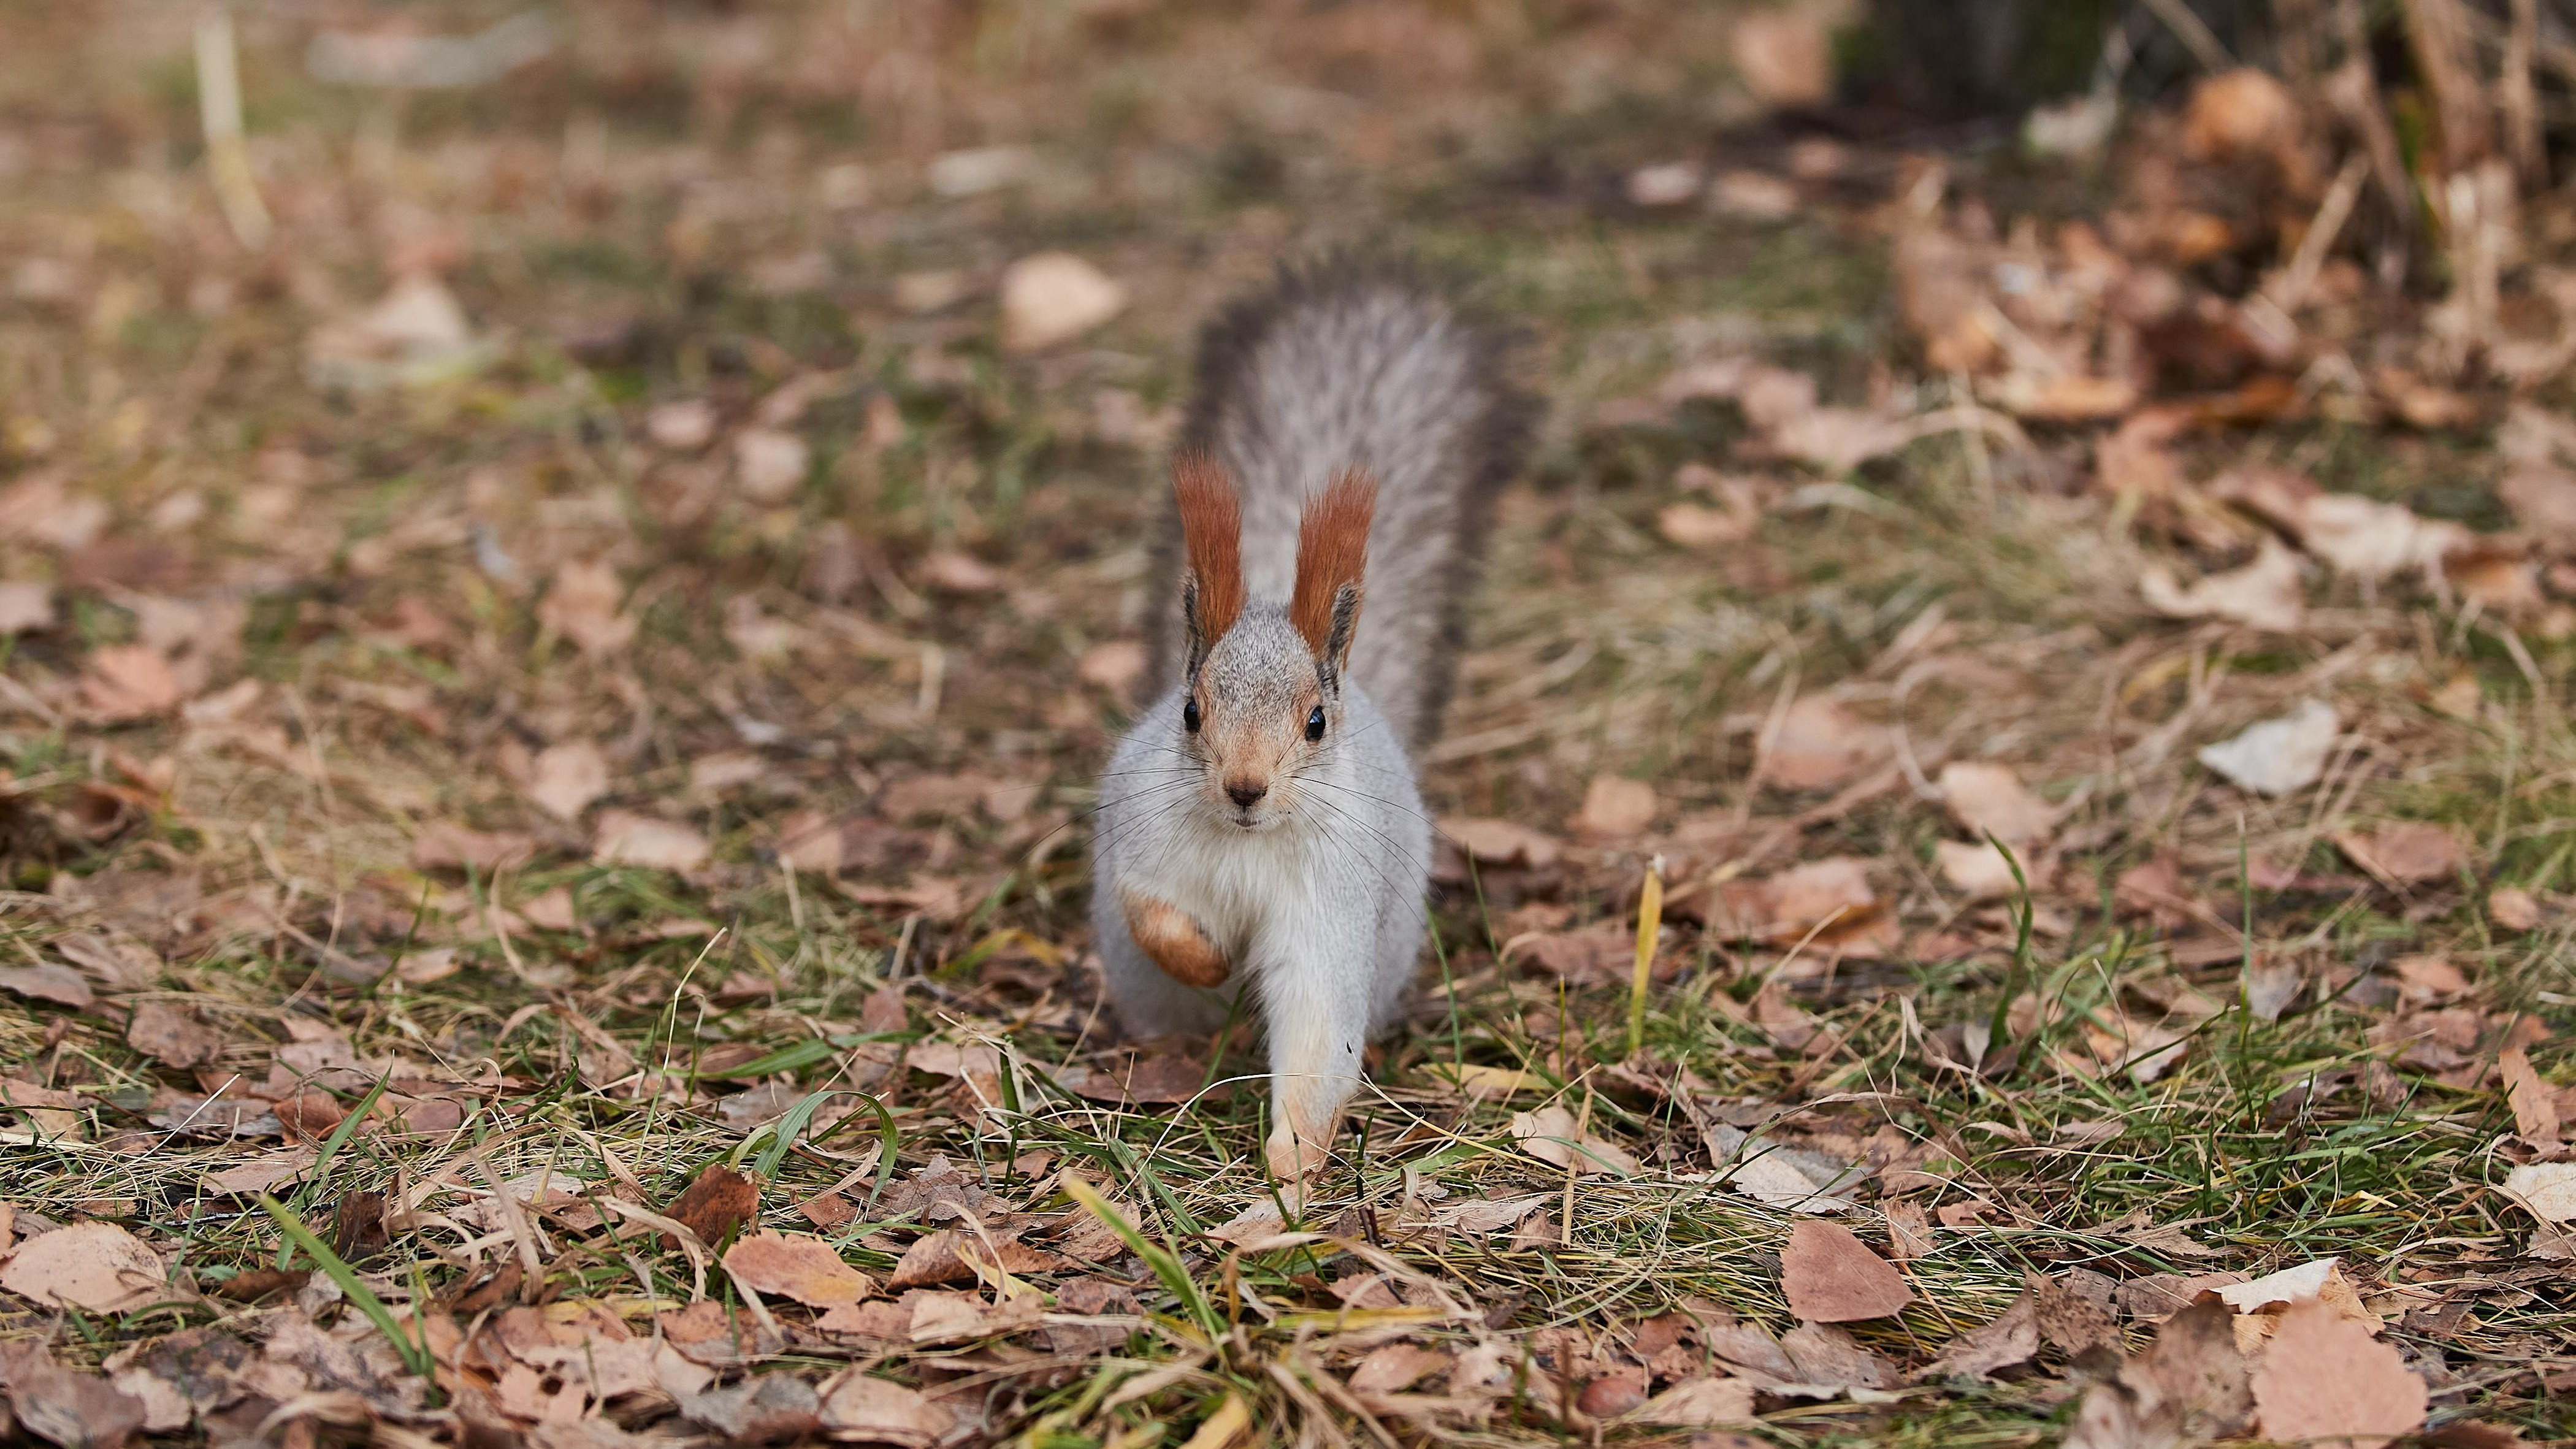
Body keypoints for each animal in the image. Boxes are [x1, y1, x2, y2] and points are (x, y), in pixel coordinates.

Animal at [1087, 259, 1524, 1180]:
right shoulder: (1142, 836)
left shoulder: (1330, 904)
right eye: (1190, 711)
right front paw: (1210, 956)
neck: (1249, 844)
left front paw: (1289, 1164)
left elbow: (1321, 1029)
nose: (1245, 787)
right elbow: (1152, 912)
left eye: (1317, 721)